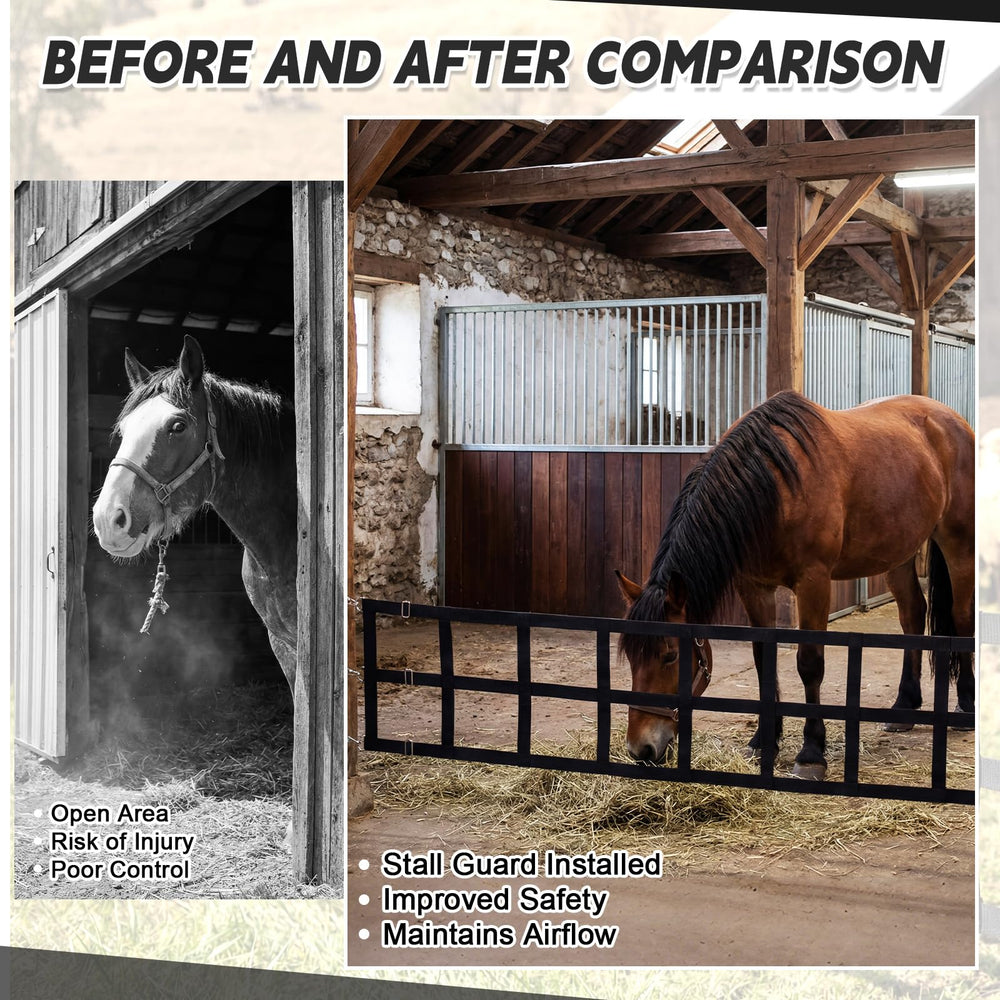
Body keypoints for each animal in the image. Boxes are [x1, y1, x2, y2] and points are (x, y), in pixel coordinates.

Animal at [615, 390, 975, 780]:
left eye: (669, 655)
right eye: (631, 657)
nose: (641, 749)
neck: (774, 488)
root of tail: (951, 419)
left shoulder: (813, 581)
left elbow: (809, 664)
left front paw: (811, 753)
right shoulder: (754, 586)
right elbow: (764, 660)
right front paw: (764, 740)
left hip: (958, 544)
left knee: (962, 616)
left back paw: (967, 706)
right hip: (897, 553)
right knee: (912, 613)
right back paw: (904, 706)